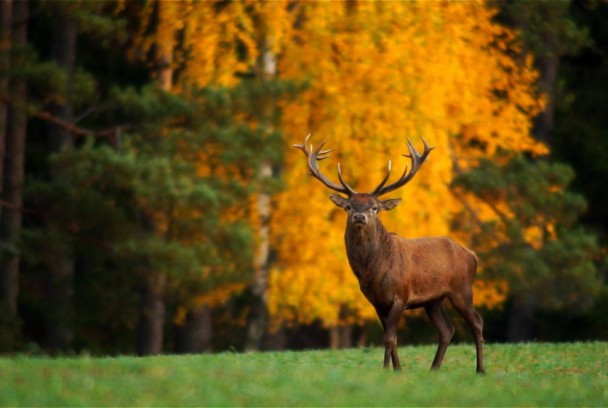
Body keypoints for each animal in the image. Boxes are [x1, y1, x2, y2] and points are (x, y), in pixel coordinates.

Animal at [294, 134, 484, 372]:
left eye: (374, 207)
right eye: (349, 206)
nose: (360, 216)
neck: (371, 271)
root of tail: (472, 255)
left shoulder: (399, 296)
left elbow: (389, 339)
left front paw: (386, 370)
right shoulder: (376, 301)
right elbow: (391, 339)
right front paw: (396, 370)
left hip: (462, 289)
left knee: (477, 322)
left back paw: (480, 370)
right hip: (434, 300)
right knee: (446, 329)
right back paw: (433, 369)